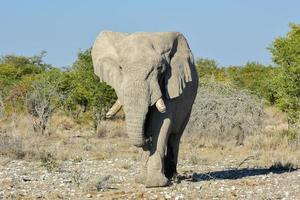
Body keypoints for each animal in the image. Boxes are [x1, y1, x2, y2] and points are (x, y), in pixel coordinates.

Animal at [91, 30, 199, 187]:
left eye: (160, 69)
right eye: (121, 68)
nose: (147, 140)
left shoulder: (169, 84)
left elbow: (162, 122)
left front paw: (155, 183)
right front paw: (142, 180)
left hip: (188, 107)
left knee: (175, 136)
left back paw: (172, 178)